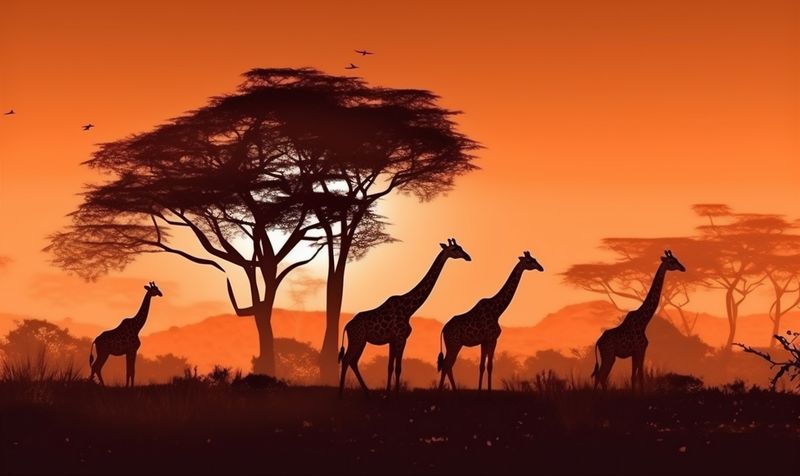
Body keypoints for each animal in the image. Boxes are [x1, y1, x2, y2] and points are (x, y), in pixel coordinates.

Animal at [338, 238, 472, 397]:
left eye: (461, 247)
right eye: (455, 249)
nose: (468, 257)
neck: (409, 309)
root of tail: (347, 326)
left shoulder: (393, 340)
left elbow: (390, 366)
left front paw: (387, 394)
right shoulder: (401, 338)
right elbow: (398, 367)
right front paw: (395, 395)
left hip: (361, 341)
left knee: (353, 361)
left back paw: (367, 393)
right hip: (357, 340)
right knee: (346, 360)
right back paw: (340, 394)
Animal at [437, 251, 544, 391]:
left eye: (534, 259)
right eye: (529, 261)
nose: (541, 268)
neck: (497, 311)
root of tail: (444, 329)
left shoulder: (484, 341)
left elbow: (482, 366)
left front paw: (480, 391)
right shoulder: (492, 339)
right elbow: (490, 366)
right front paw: (488, 390)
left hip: (455, 345)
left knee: (448, 365)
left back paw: (453, 390)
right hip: (453, 344)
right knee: (446, 365)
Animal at [591, 250, 686, 391]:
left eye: (677, 259)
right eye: (672, 261)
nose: (683, 268)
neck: (644, 323)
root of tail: (598, 342)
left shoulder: (635, 352)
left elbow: (633, 377)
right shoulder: (641, 349)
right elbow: (641, 376)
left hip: (607, 356)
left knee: (598, 376)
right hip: (609, 355)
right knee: (602, 376)